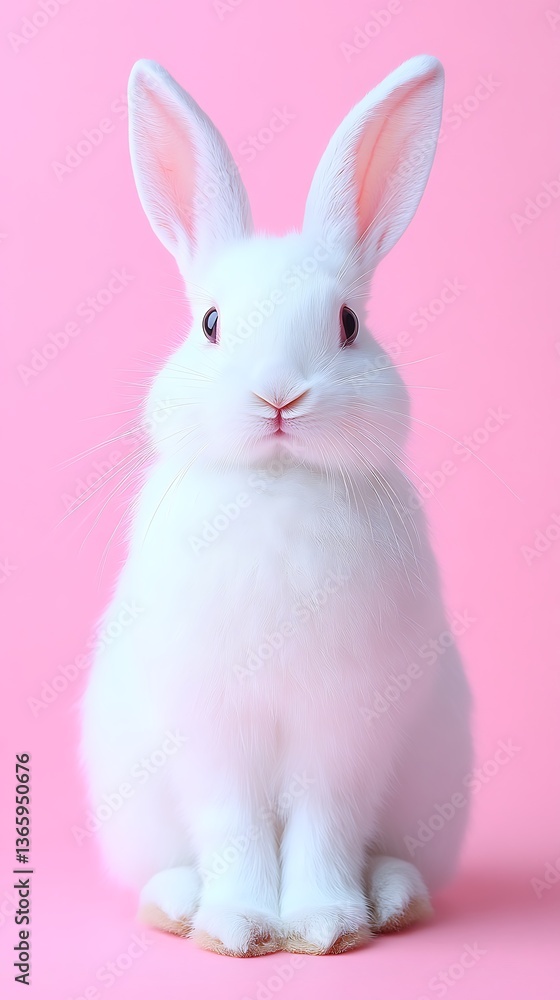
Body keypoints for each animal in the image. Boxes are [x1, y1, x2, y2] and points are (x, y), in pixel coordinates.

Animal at [80, 55, 472, 957]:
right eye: (210, 323)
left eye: (350, 323)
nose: (279, 396)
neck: (279, 482)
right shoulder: (211, 731)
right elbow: (234, 828)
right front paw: (239, 927)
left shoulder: (346, 729)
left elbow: (324, 828)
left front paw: (325, 925)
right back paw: (180, 905)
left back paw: (389, 900)